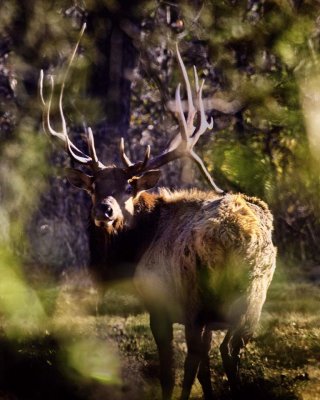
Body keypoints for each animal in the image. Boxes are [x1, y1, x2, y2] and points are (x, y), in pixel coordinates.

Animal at [39, 25, 276, 400]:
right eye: (94, 187)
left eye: (128, 188)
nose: (105, 210)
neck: (135, 250)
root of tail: (239, 236)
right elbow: (204, 368)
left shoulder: (159, 303)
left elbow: (171, 370)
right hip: (254, 297)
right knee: (229, 351)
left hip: (196, 298)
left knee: (204, 355)